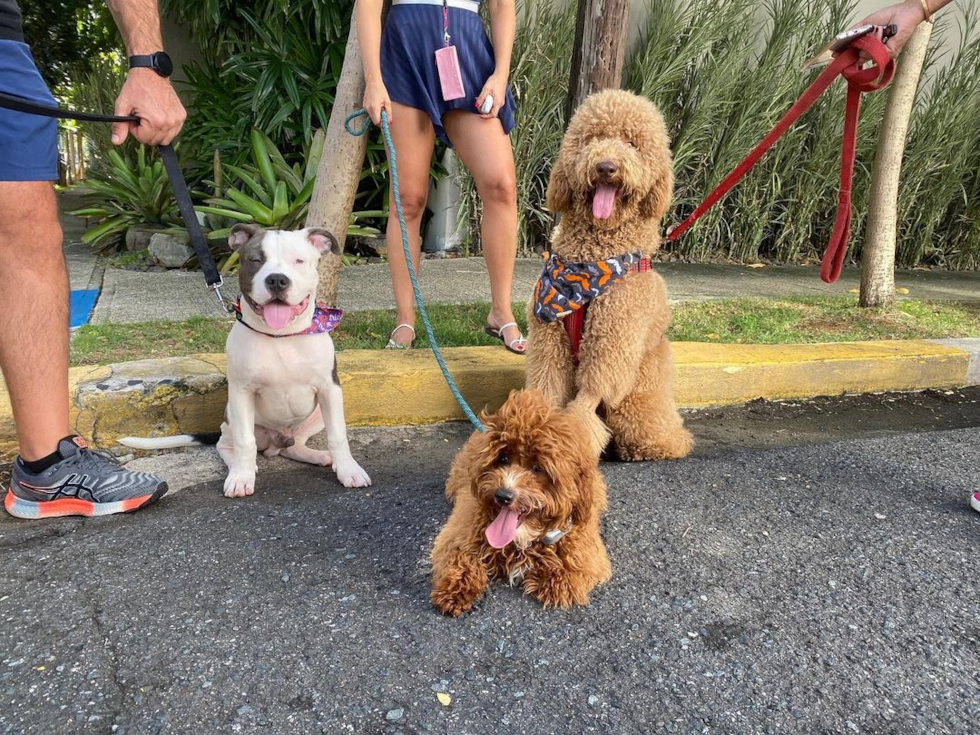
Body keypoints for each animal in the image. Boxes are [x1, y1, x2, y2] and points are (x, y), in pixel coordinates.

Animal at [119, 223, 372, 494]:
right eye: (256, 260)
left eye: (298, 260)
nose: (277, 279)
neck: (281, 336)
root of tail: (278, 439)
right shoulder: (242, 392)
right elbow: (245, 442)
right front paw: (241, 477)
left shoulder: (329, 389)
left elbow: (338, 436)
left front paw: (348, 470)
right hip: (232, 419)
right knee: (227, 445)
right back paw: (243, 468)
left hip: (315, 416)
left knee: (293, 445)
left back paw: (320, 456)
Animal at [430, 388, 608, 620]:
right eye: (503, 458)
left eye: (537, 468)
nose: (503, 496)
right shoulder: (460, 531)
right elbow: (460, 556)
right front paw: (455, 592)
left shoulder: (585, 551)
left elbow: (569, 572)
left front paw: (547, 579)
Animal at [524, 89, 692, 462]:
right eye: (593, 138)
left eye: (633, 143)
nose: (606, 167)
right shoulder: (548, 344)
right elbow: (545, 391)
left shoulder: (610, 344)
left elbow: (585, 403)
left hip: (639, 398)